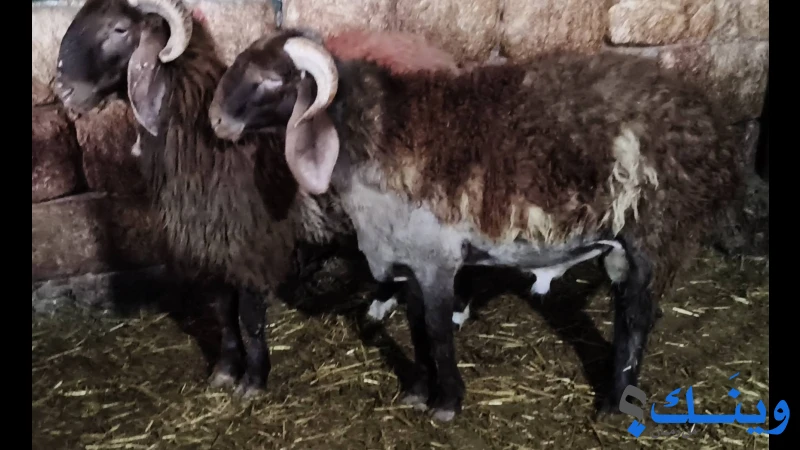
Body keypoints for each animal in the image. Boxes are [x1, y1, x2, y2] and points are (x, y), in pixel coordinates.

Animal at [207, 29, 741, 421]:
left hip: (653, 233)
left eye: (269, 80)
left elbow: (438, 331)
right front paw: (418, 392)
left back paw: (614, 405)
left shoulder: (436, 257)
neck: (376, 135)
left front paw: (447, 404)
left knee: (636, 318)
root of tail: (709, 120)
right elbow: (417, 327)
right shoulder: (411, 259)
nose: (215, 121)